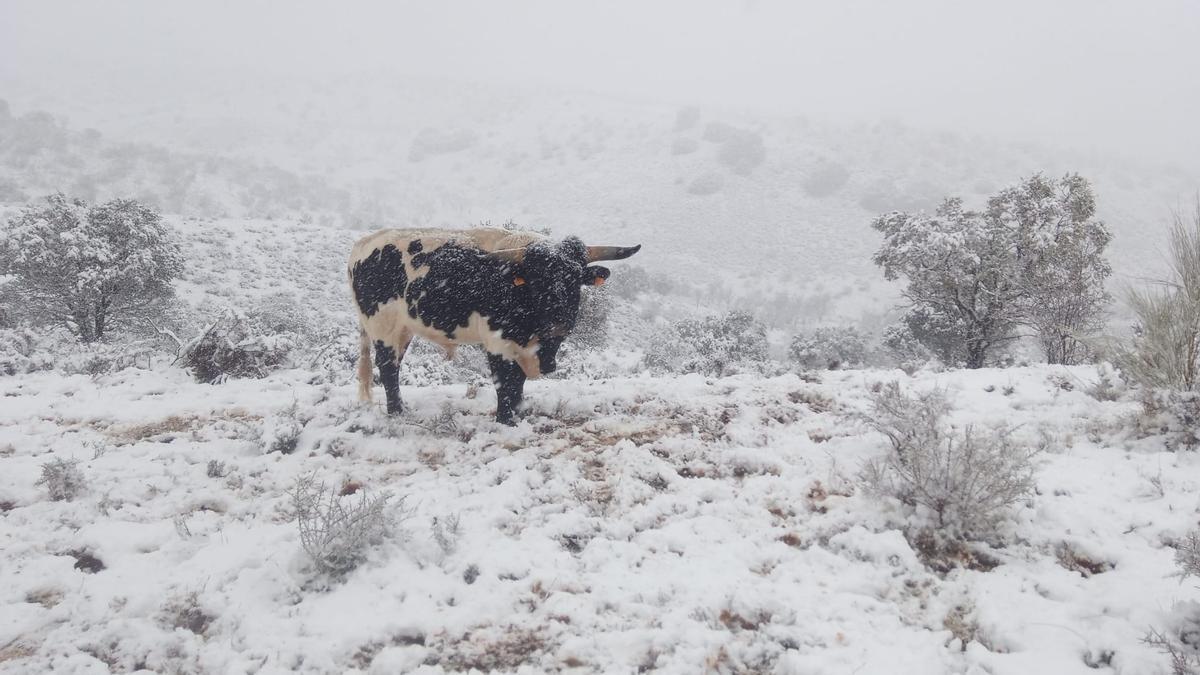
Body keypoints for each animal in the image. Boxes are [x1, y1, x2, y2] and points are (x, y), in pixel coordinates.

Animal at [348, 228, 638, 422]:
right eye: (536, 280)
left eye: (576, 278)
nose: (559, 322)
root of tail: (363, 244)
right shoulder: (497, 341)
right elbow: (505, 382)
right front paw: (505, 419)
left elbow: (518, 382)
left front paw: (519, 413)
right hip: (382, 326)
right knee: (387, 367)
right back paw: (397, 412)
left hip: (404, 330)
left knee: (394, 365)